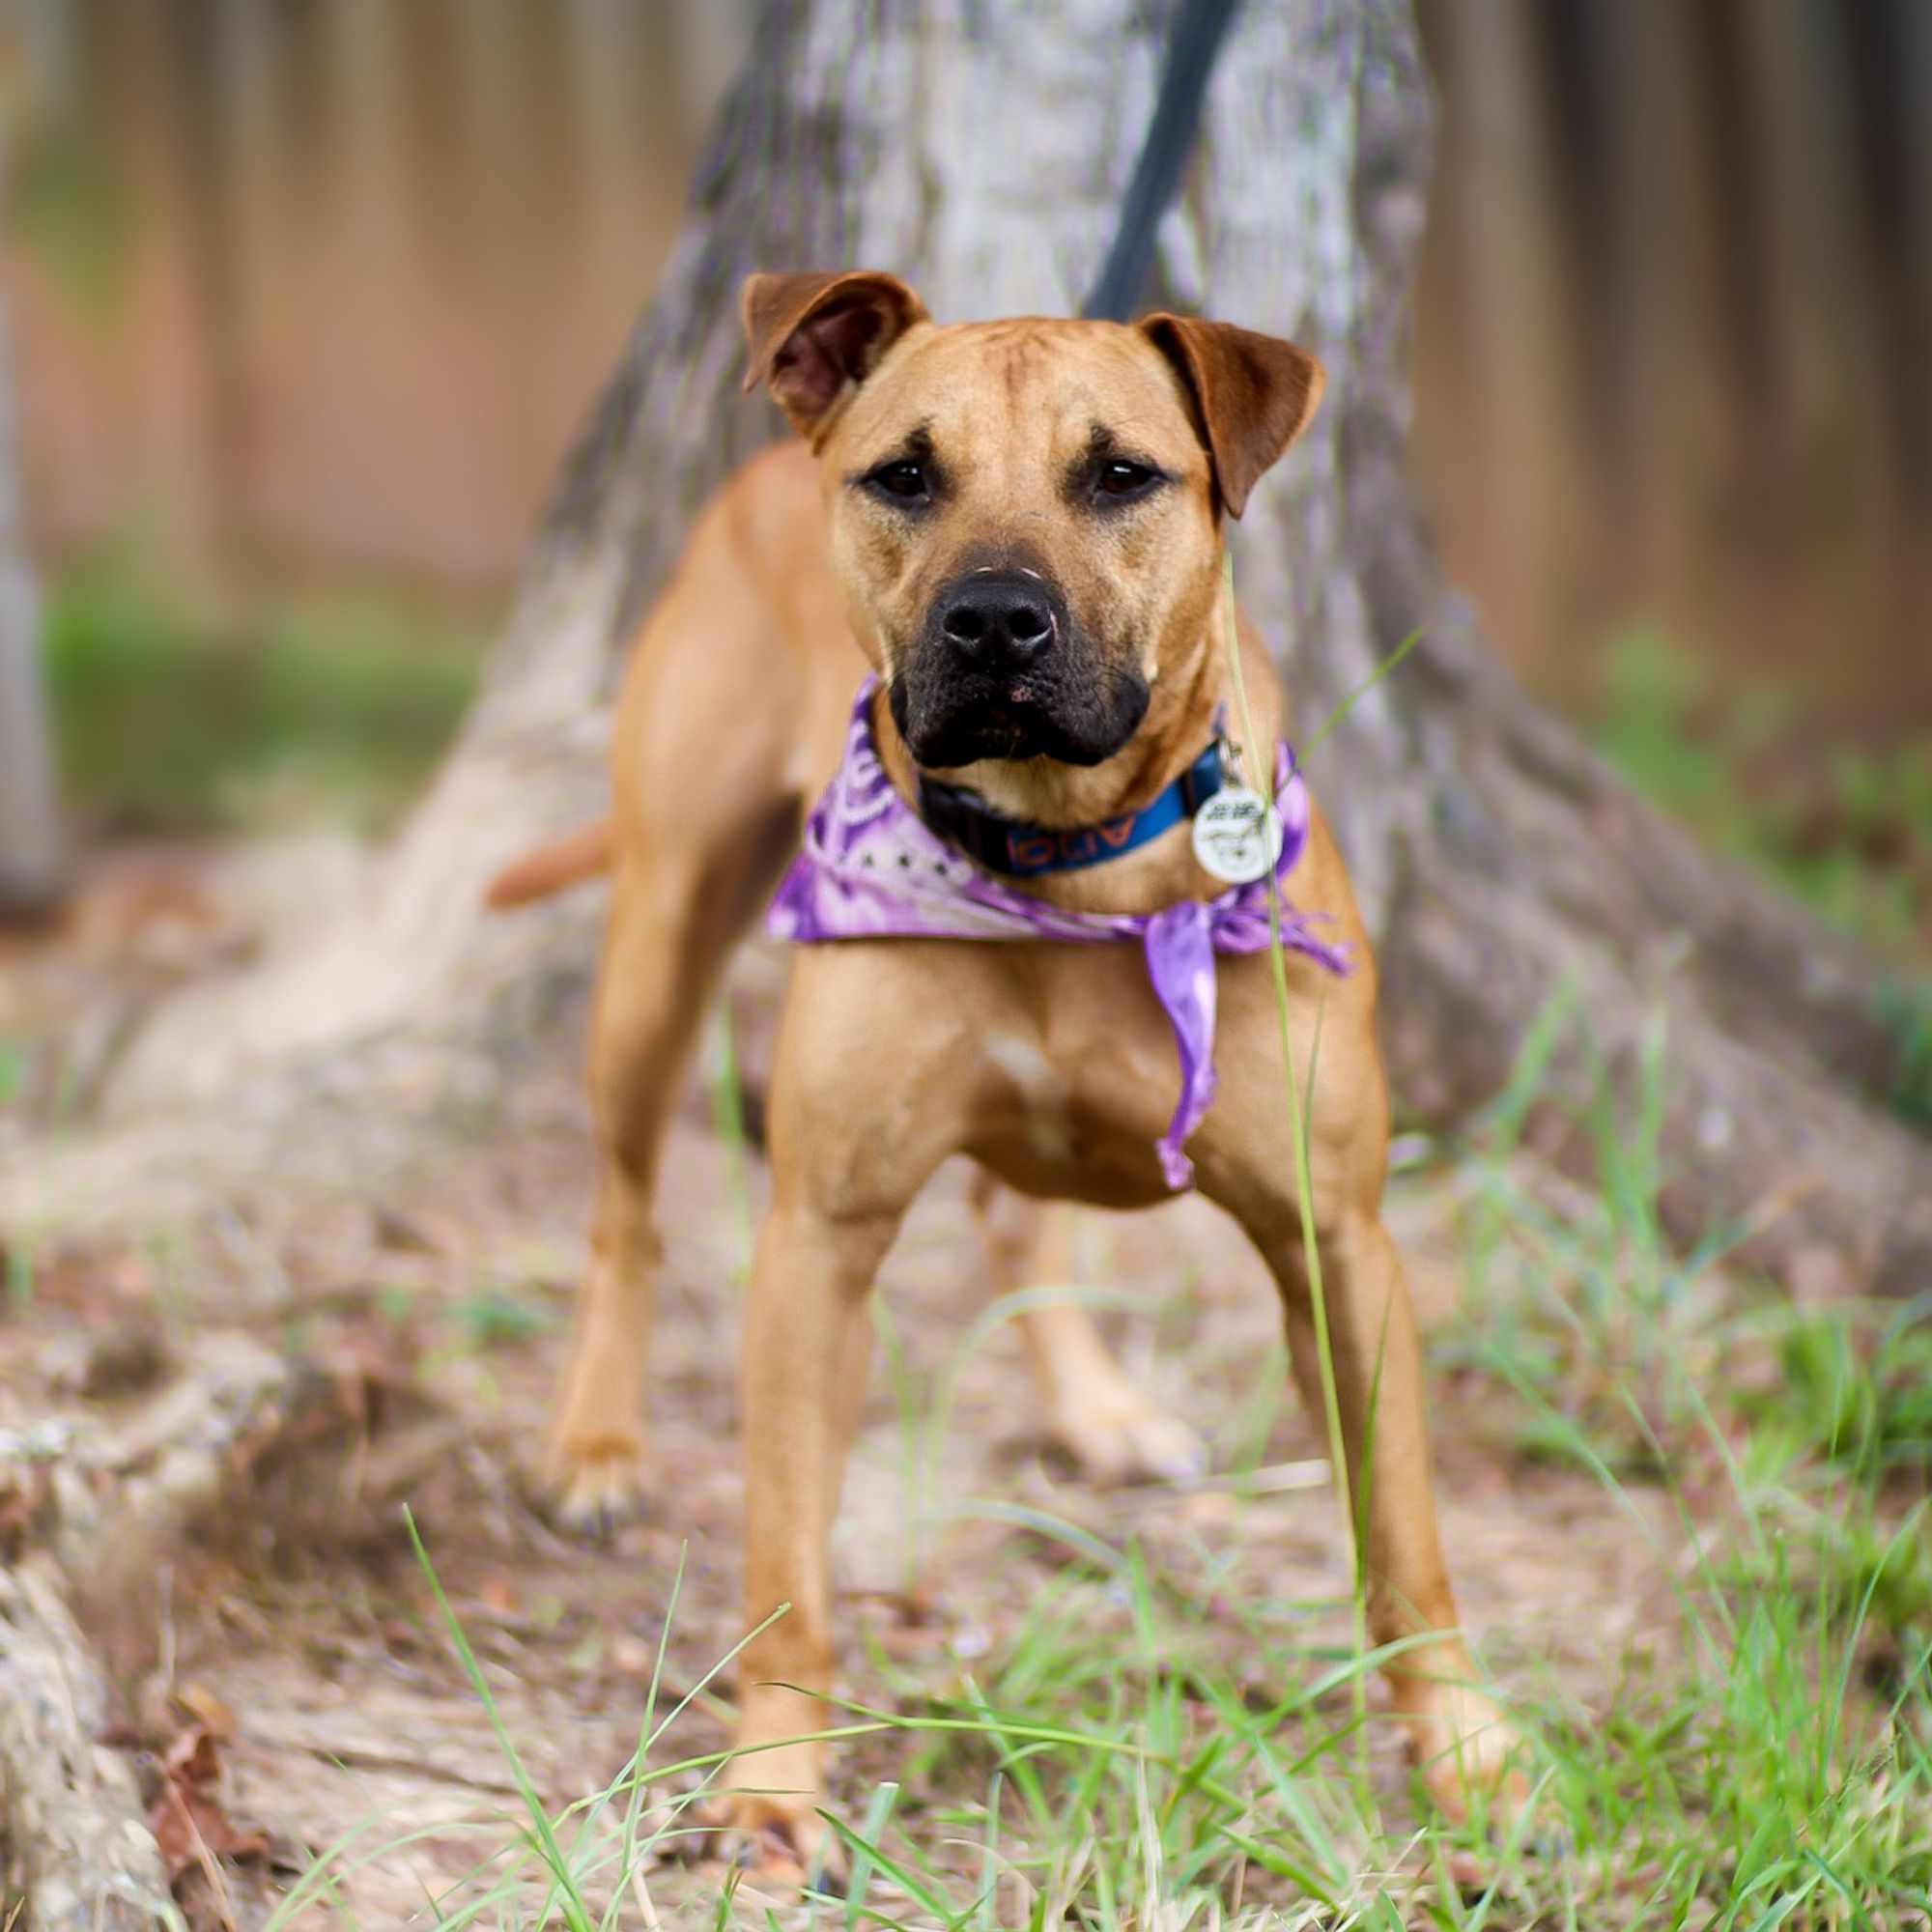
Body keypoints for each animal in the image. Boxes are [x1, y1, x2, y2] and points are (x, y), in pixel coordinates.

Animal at [502, 272, 1522, 1870]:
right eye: (905, 476)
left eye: (1120, 474)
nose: (992, 620)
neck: (1066, 860)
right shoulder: (819, 1239)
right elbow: (785, 1558)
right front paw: (772, 1784)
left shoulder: (1338, 1243)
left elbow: (1408, 1533)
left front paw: (1463, 1746)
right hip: (654, 951)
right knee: (626, 1214)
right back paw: (596, 1441)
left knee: (1007, 1218)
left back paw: (1096, 1410)